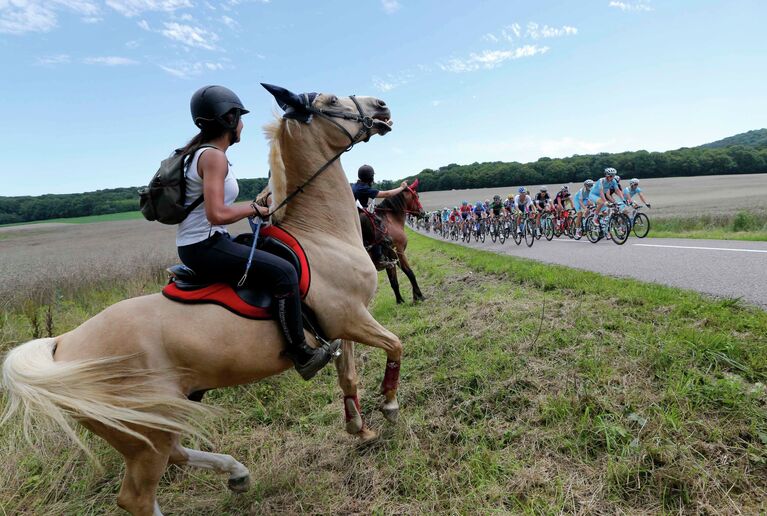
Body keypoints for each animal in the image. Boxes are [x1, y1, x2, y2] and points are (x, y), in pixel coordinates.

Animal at [1, 85, 402, 516]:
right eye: (329, 102)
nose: (381, 107)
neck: (322, 234)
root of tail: (63, 345)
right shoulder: (352, 318)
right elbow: (395, 345)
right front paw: (389, 407)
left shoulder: (342, 325)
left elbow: (349, 378)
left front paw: (359, 429)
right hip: (146, 433)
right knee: (137, 496)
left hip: (155, 423)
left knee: (175, 455)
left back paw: (237, 473)